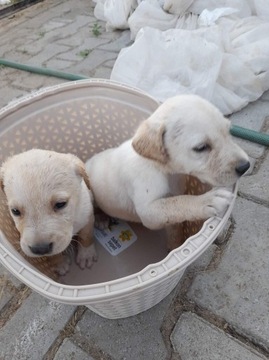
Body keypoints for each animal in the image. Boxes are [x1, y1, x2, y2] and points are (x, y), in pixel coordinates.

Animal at [0, 149, 96, 278]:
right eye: (15, 211)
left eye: (60, 204)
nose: (40, 249)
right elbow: (52, 255)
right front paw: (59, 263)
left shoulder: (87, 216)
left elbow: (86, 236)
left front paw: (86, 254)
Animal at [86, 94, 249, 249]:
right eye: (201, 147)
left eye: (228, 131)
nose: (245, 166)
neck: (165, 170)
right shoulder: (148, 211)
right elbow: (178, 202)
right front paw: (208, 200)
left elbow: (174, 220)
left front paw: (174, 246)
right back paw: (100, 218)